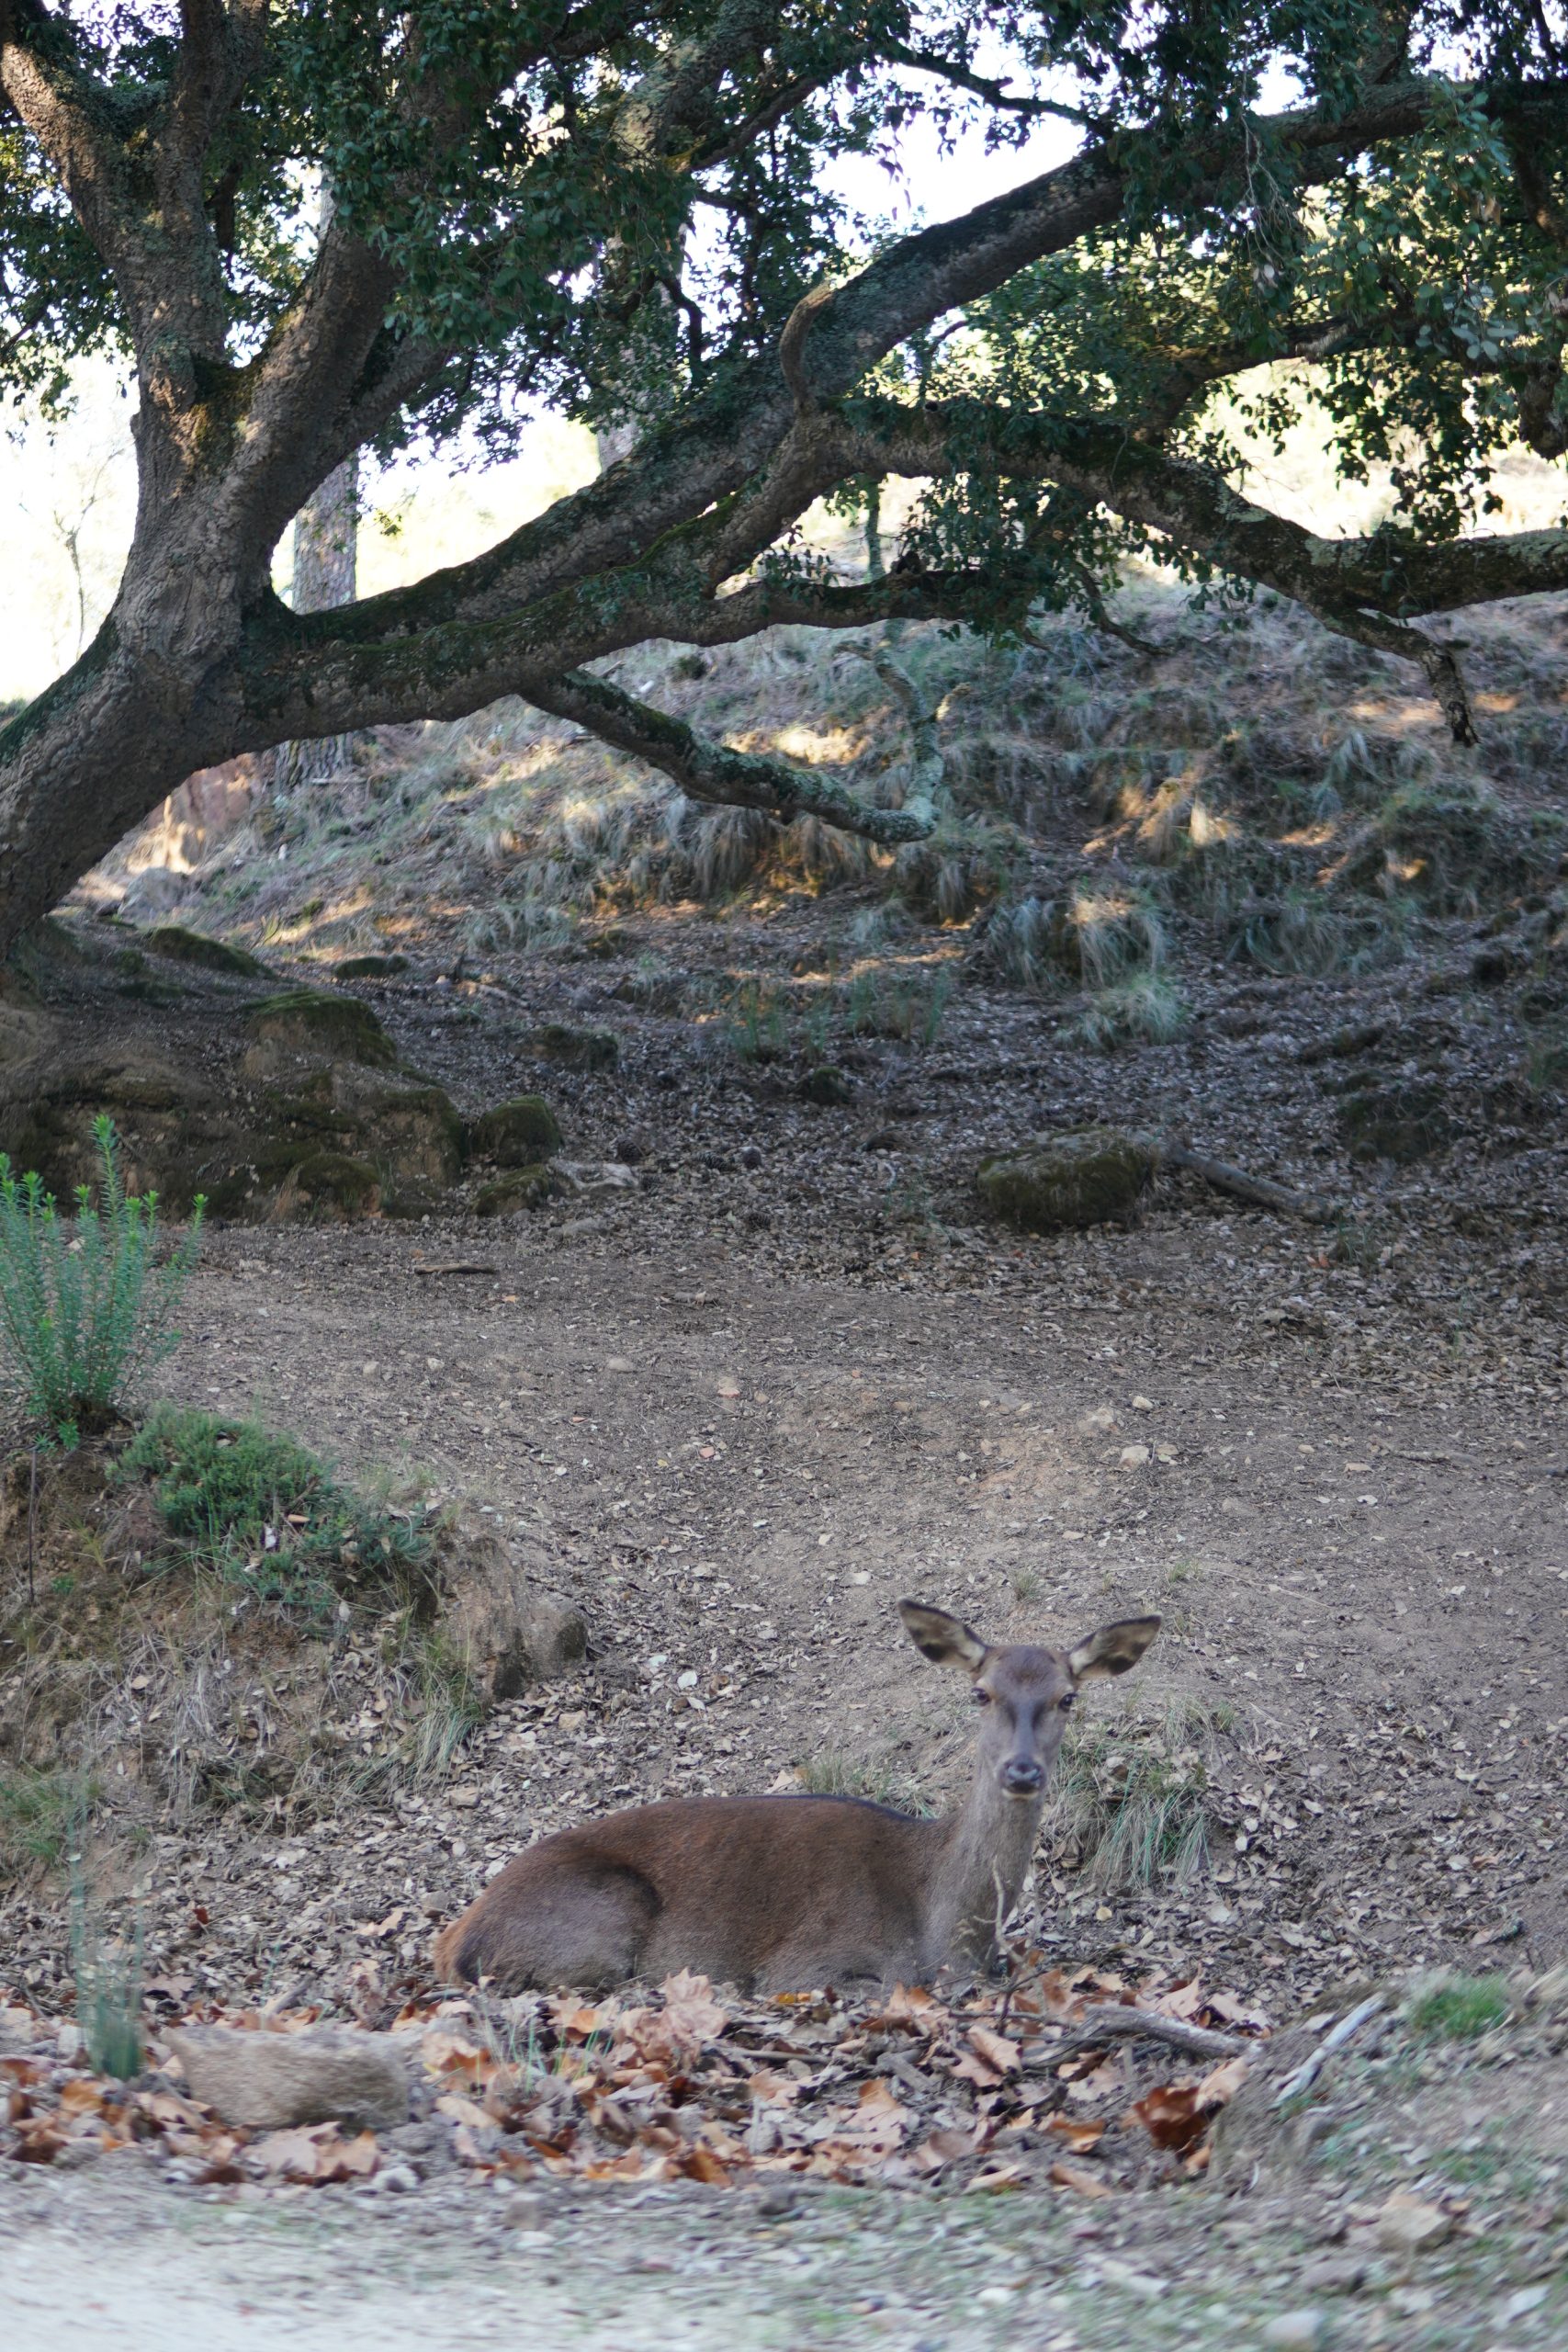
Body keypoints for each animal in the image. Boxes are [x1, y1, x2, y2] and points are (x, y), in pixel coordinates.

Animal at [434, 1589, 1161, 1994]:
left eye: (1068, 1697)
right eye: (979, 1692)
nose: (1021, 1771)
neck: (948, 1939)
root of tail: (456, 1938)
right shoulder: (808, 1964)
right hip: (602, 1914)